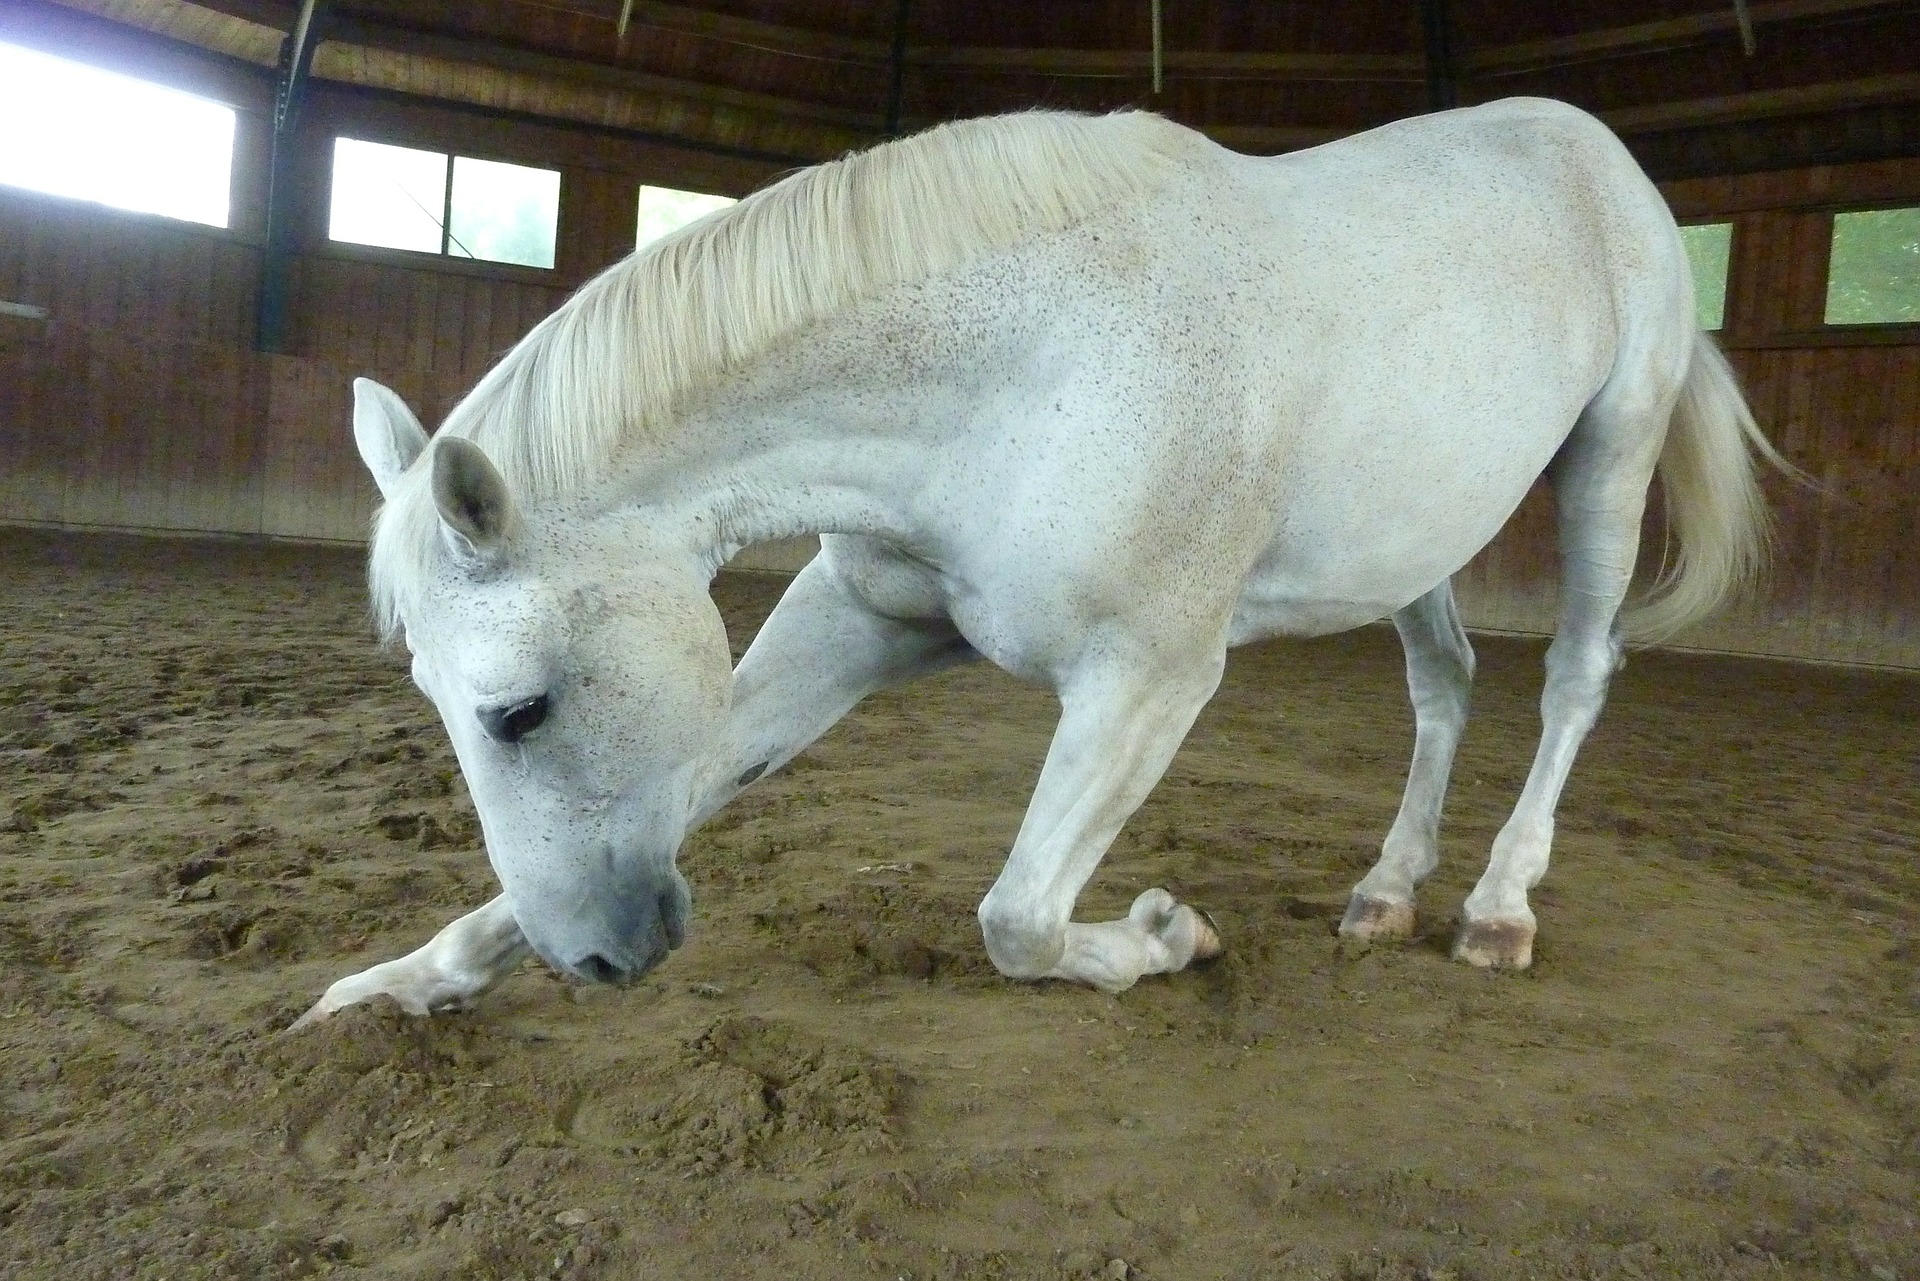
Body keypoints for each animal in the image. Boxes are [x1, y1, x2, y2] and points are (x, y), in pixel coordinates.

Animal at [291, 95, 1774, 1029]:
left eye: (518, 709)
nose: (600, 957)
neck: (1030, 364)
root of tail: (1596, 149)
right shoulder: (858, 619)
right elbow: (703, 776)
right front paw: (390, 989)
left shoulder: (1150, 678)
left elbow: (1018, 921)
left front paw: (1169, 934)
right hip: (1413, 542)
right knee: (1446, 684)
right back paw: (1387, 894)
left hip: (1610, 465)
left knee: (1573, 679)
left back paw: (1497, 908)